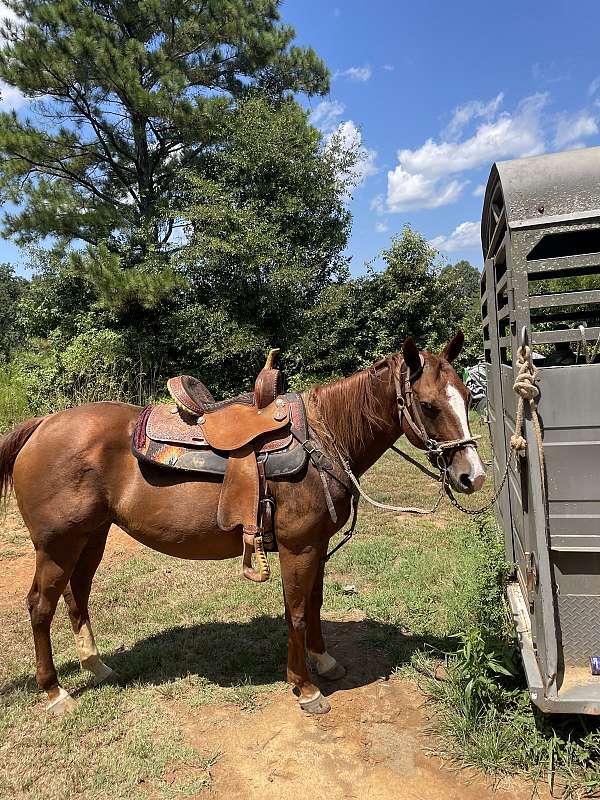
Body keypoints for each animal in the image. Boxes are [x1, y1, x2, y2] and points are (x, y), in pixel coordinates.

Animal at [0, 332, 485, 715]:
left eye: (467, 396)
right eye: (428, 405)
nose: (473, 476)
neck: (324, 435)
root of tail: (41, 425)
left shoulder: (316, 546)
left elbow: (314, 605)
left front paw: (324, 662)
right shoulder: (297, 547)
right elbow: (296, 612)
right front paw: (306, 688)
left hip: (91, 536)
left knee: (76, 595)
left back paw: (96, 666)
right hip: (58, 544)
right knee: (41, 606)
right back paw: (55, 693)